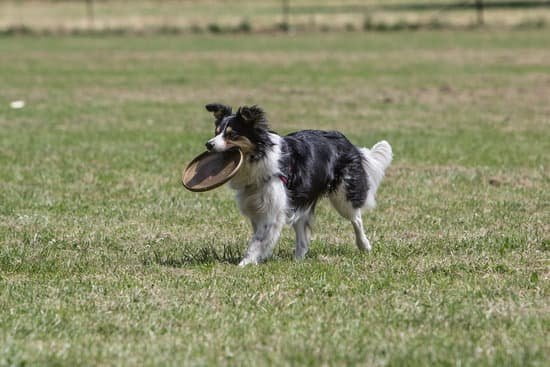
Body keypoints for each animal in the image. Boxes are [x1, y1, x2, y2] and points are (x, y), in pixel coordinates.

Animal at [205, 103, 394, 268]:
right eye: (216, 132)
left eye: (232, 135)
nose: (208, 144)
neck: (258, 155)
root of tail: (347, 142)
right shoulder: (256, 204)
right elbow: (261, 237)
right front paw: (256, 259)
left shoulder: (273, 209)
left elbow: (258, 240)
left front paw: (244, 263)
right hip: (300, 200)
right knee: (302, 237)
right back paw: (297, 260)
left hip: (343, 196)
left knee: (356, 219)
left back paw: (364, 245)